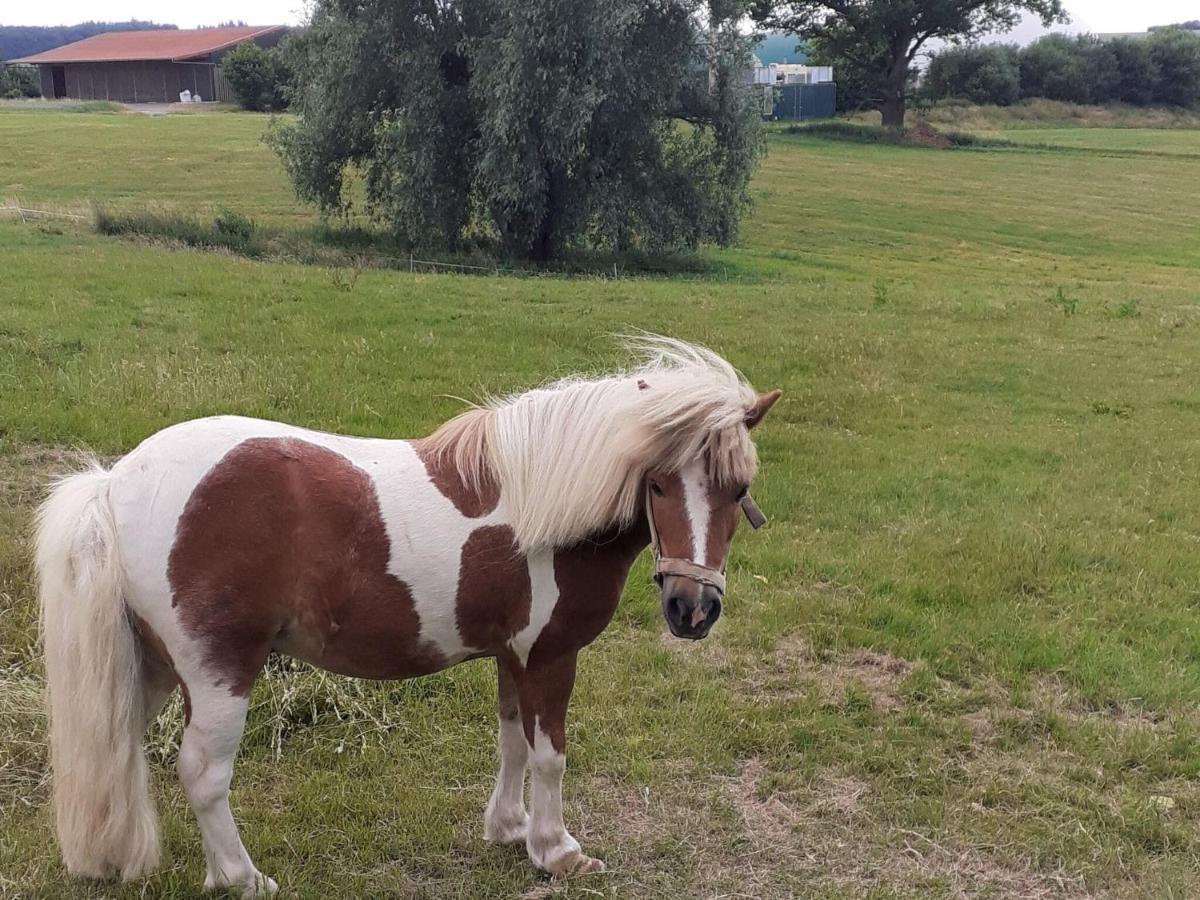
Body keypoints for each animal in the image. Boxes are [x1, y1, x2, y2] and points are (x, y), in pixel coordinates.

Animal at [32, 336, 782, 897]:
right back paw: (243, 878)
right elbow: (549, 756)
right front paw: (557, 851)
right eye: (656, 484)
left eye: (738, 488)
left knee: (123, 746)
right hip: (219, 672)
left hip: (153, 666)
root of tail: (115, 482)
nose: (692, 610)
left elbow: (512, 742)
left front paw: (509, 831)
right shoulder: (549, 656)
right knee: (203, 772)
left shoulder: (511, 657)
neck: (545, 504)